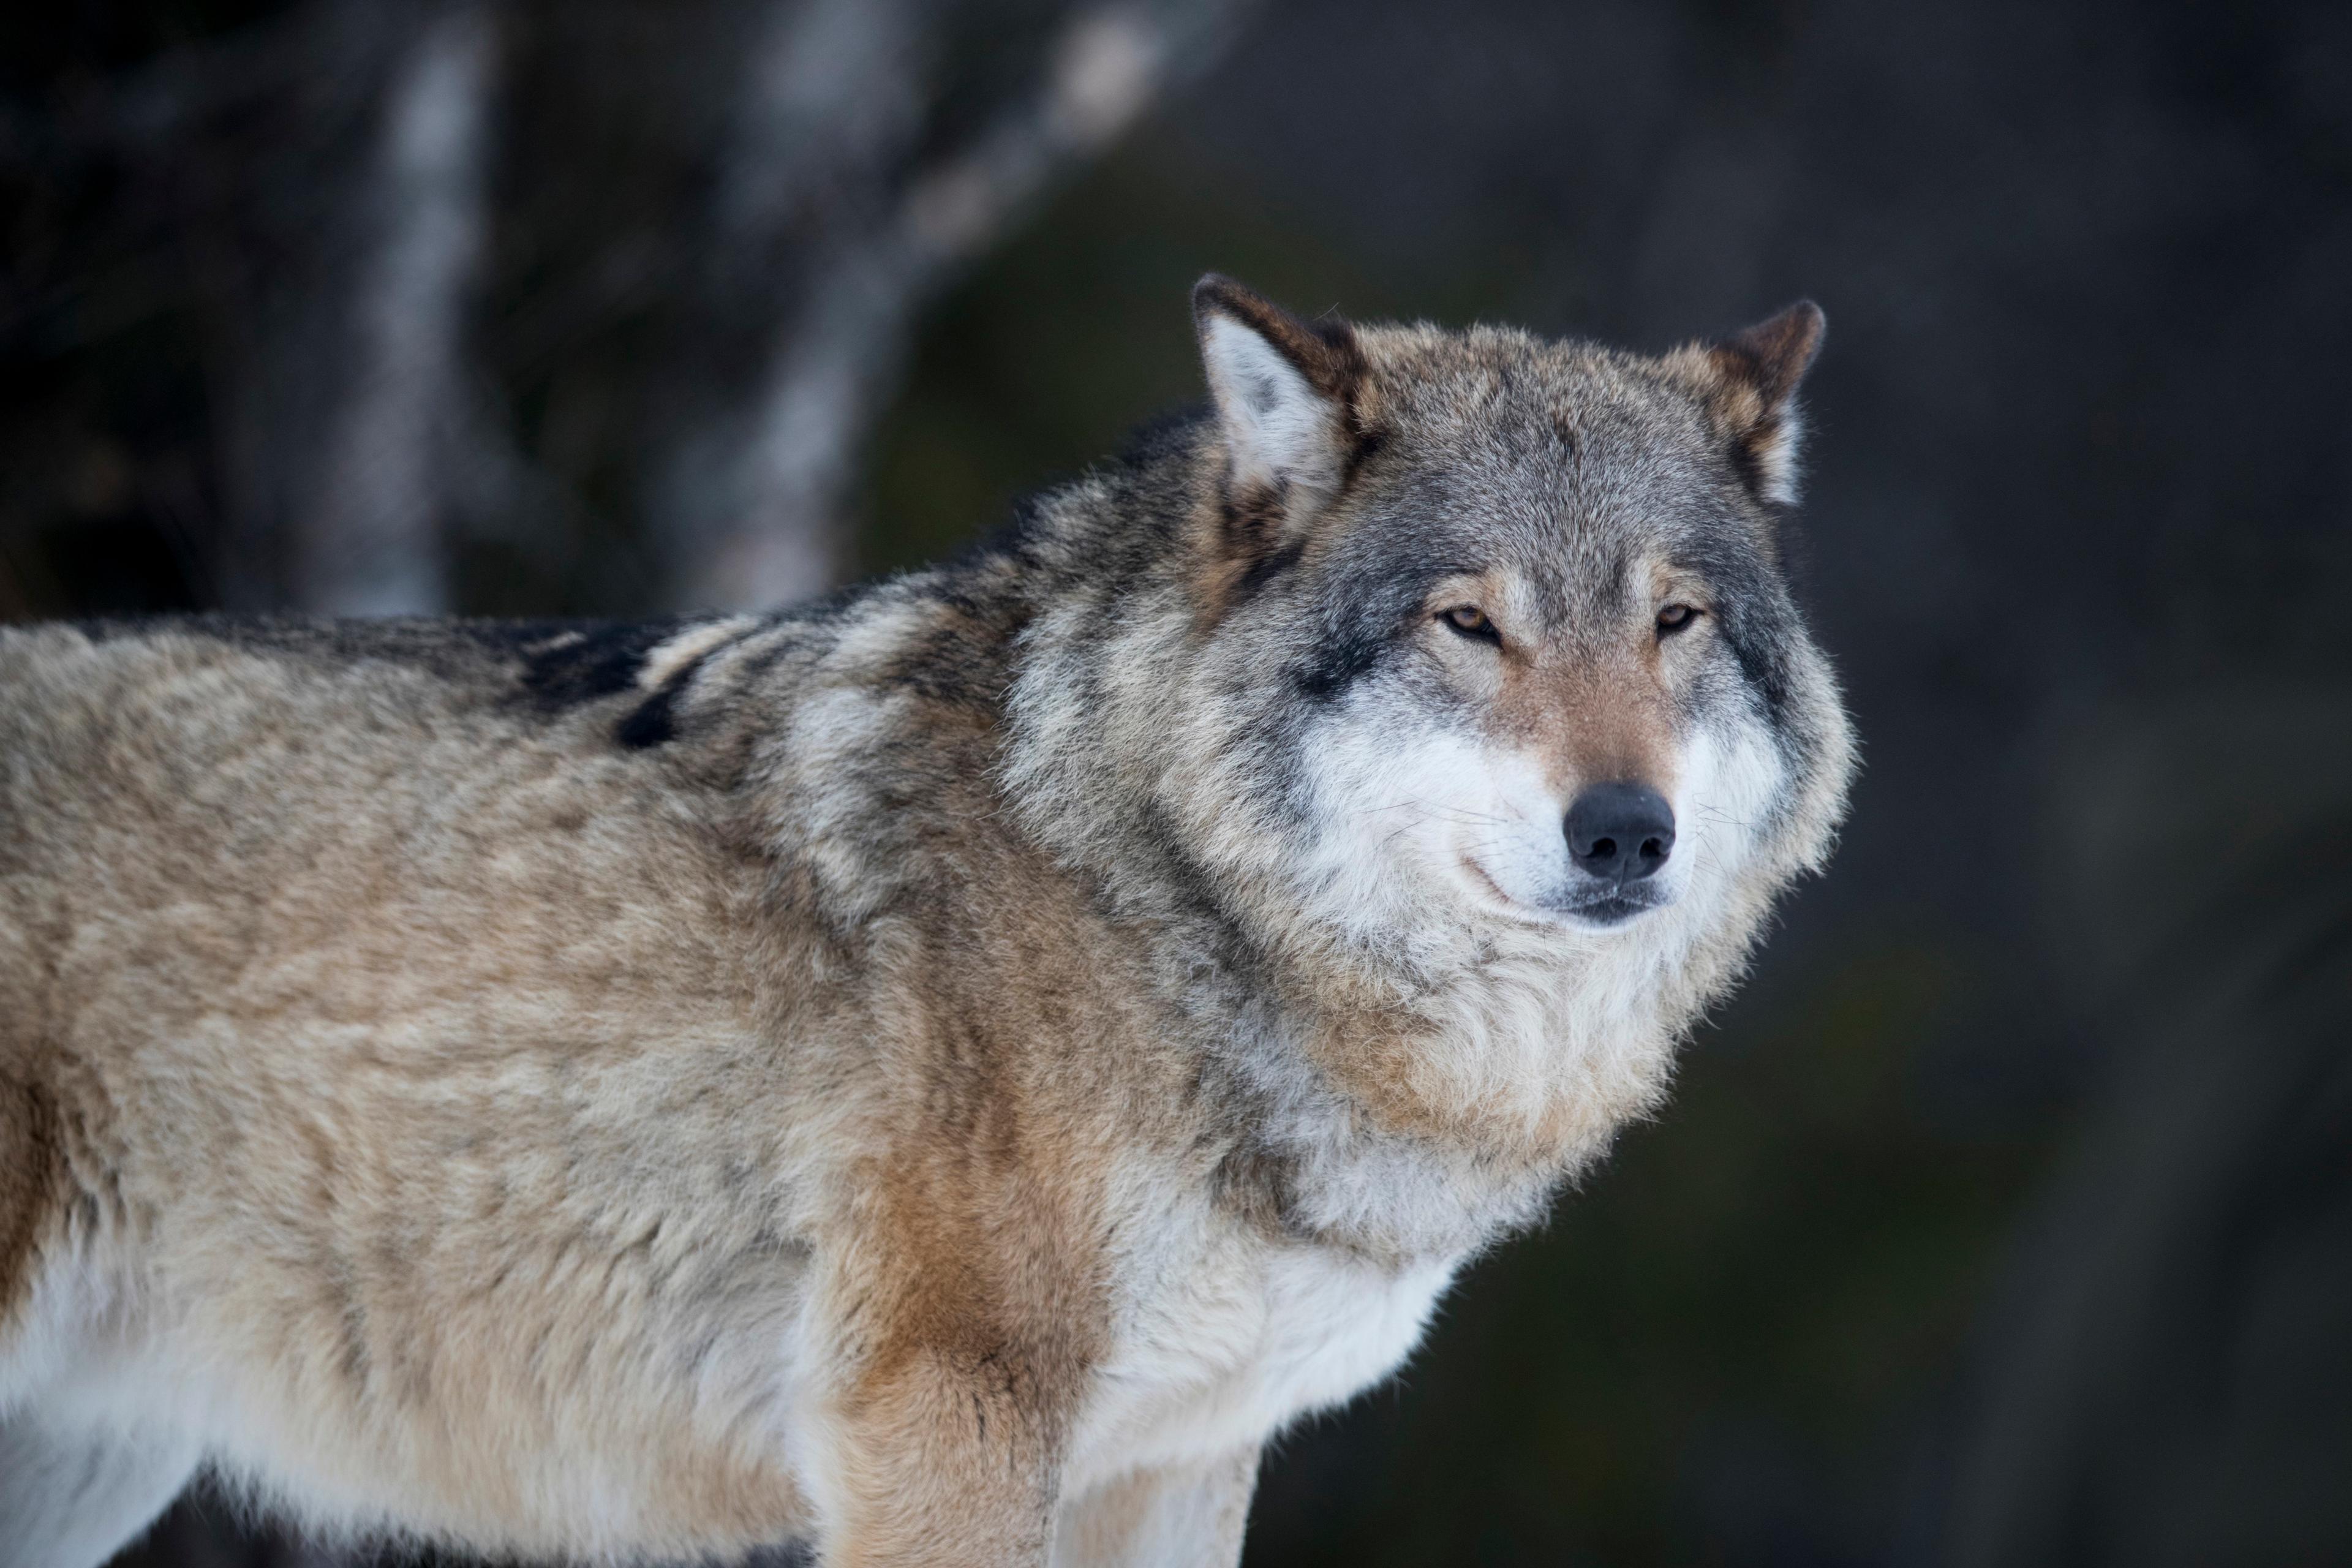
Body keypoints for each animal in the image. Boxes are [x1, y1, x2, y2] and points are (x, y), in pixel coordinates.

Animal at [0, 276, 1853, 1561]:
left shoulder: (1177, 1458)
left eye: (1675, 620)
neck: (1158, 898)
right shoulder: (944, 1413)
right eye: (1469, 623)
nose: (1624, 832)